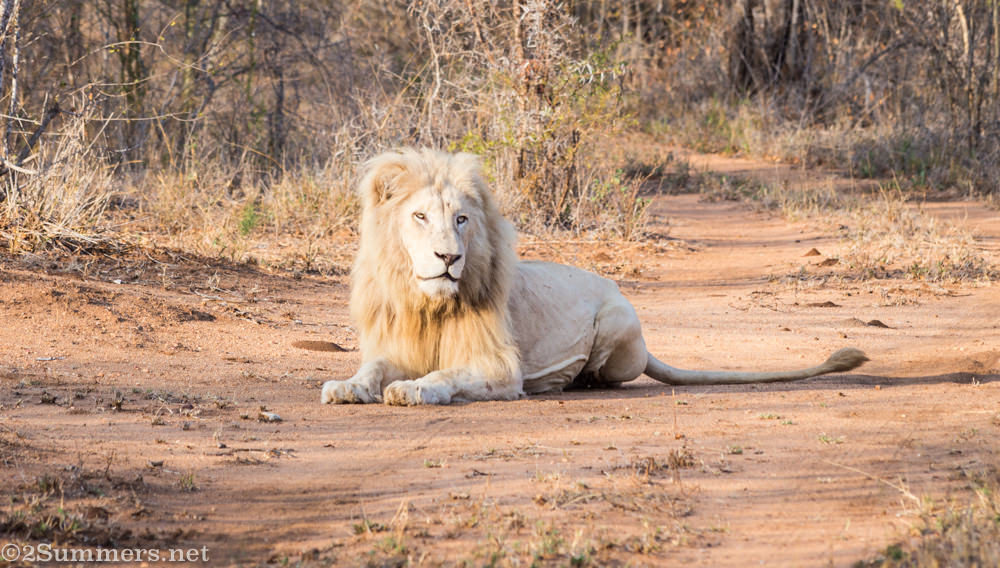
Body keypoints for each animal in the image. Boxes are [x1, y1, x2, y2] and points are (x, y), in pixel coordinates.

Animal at [320, 148, 868, 406]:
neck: (427, 303)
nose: (449, 258)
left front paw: (413, 391)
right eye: (419, 217)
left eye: (461, 219)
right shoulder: (397, 346)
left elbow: (444, 376)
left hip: (617, 326)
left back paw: (575, 380)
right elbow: (372, 369)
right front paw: (346, 386)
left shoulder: (501, 368)